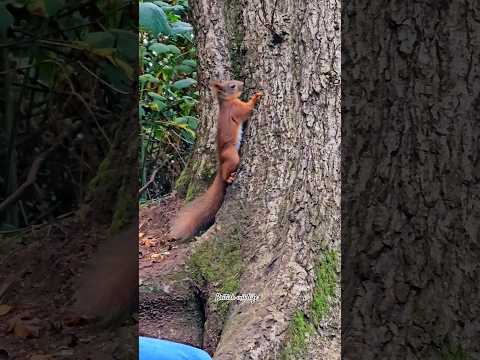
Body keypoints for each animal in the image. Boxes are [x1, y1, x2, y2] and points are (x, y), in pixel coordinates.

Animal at [169, 80, 264, 240]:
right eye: (232, 86)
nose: (242, 83)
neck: (226, 102)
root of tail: (220, 166)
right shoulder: (236, 109)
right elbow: (246, 110)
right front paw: (255, 97)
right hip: (231, 155)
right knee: (228, 170)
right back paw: (229, 177)